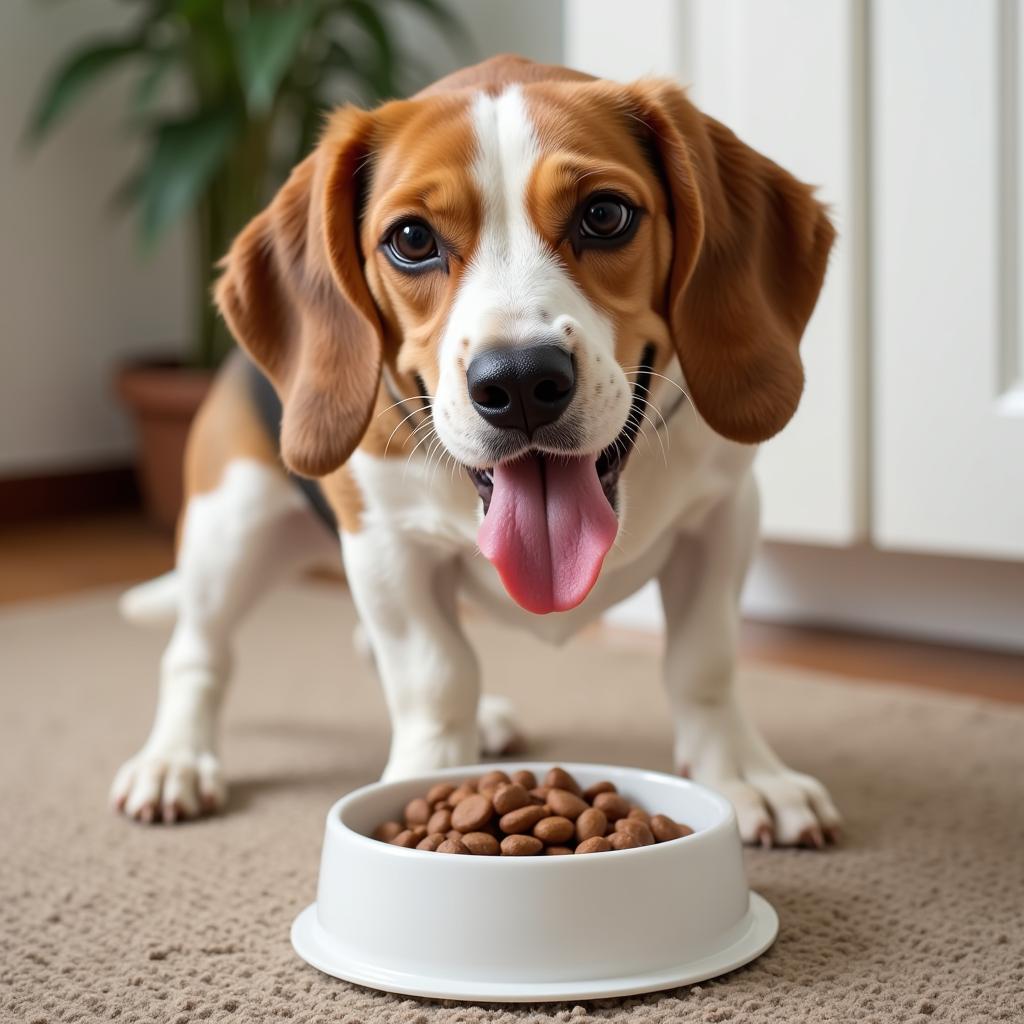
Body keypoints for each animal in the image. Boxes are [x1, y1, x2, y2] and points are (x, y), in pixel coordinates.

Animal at [116, 54, 843, 847]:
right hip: (232, 529)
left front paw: (742, 773)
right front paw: (426, 778)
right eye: (411, 238)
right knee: (196, 653)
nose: (521, 381)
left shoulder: (722, 519)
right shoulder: (386, 544)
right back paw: (175, 760)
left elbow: (703, 664)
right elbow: (437, 676)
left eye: (605, 215)